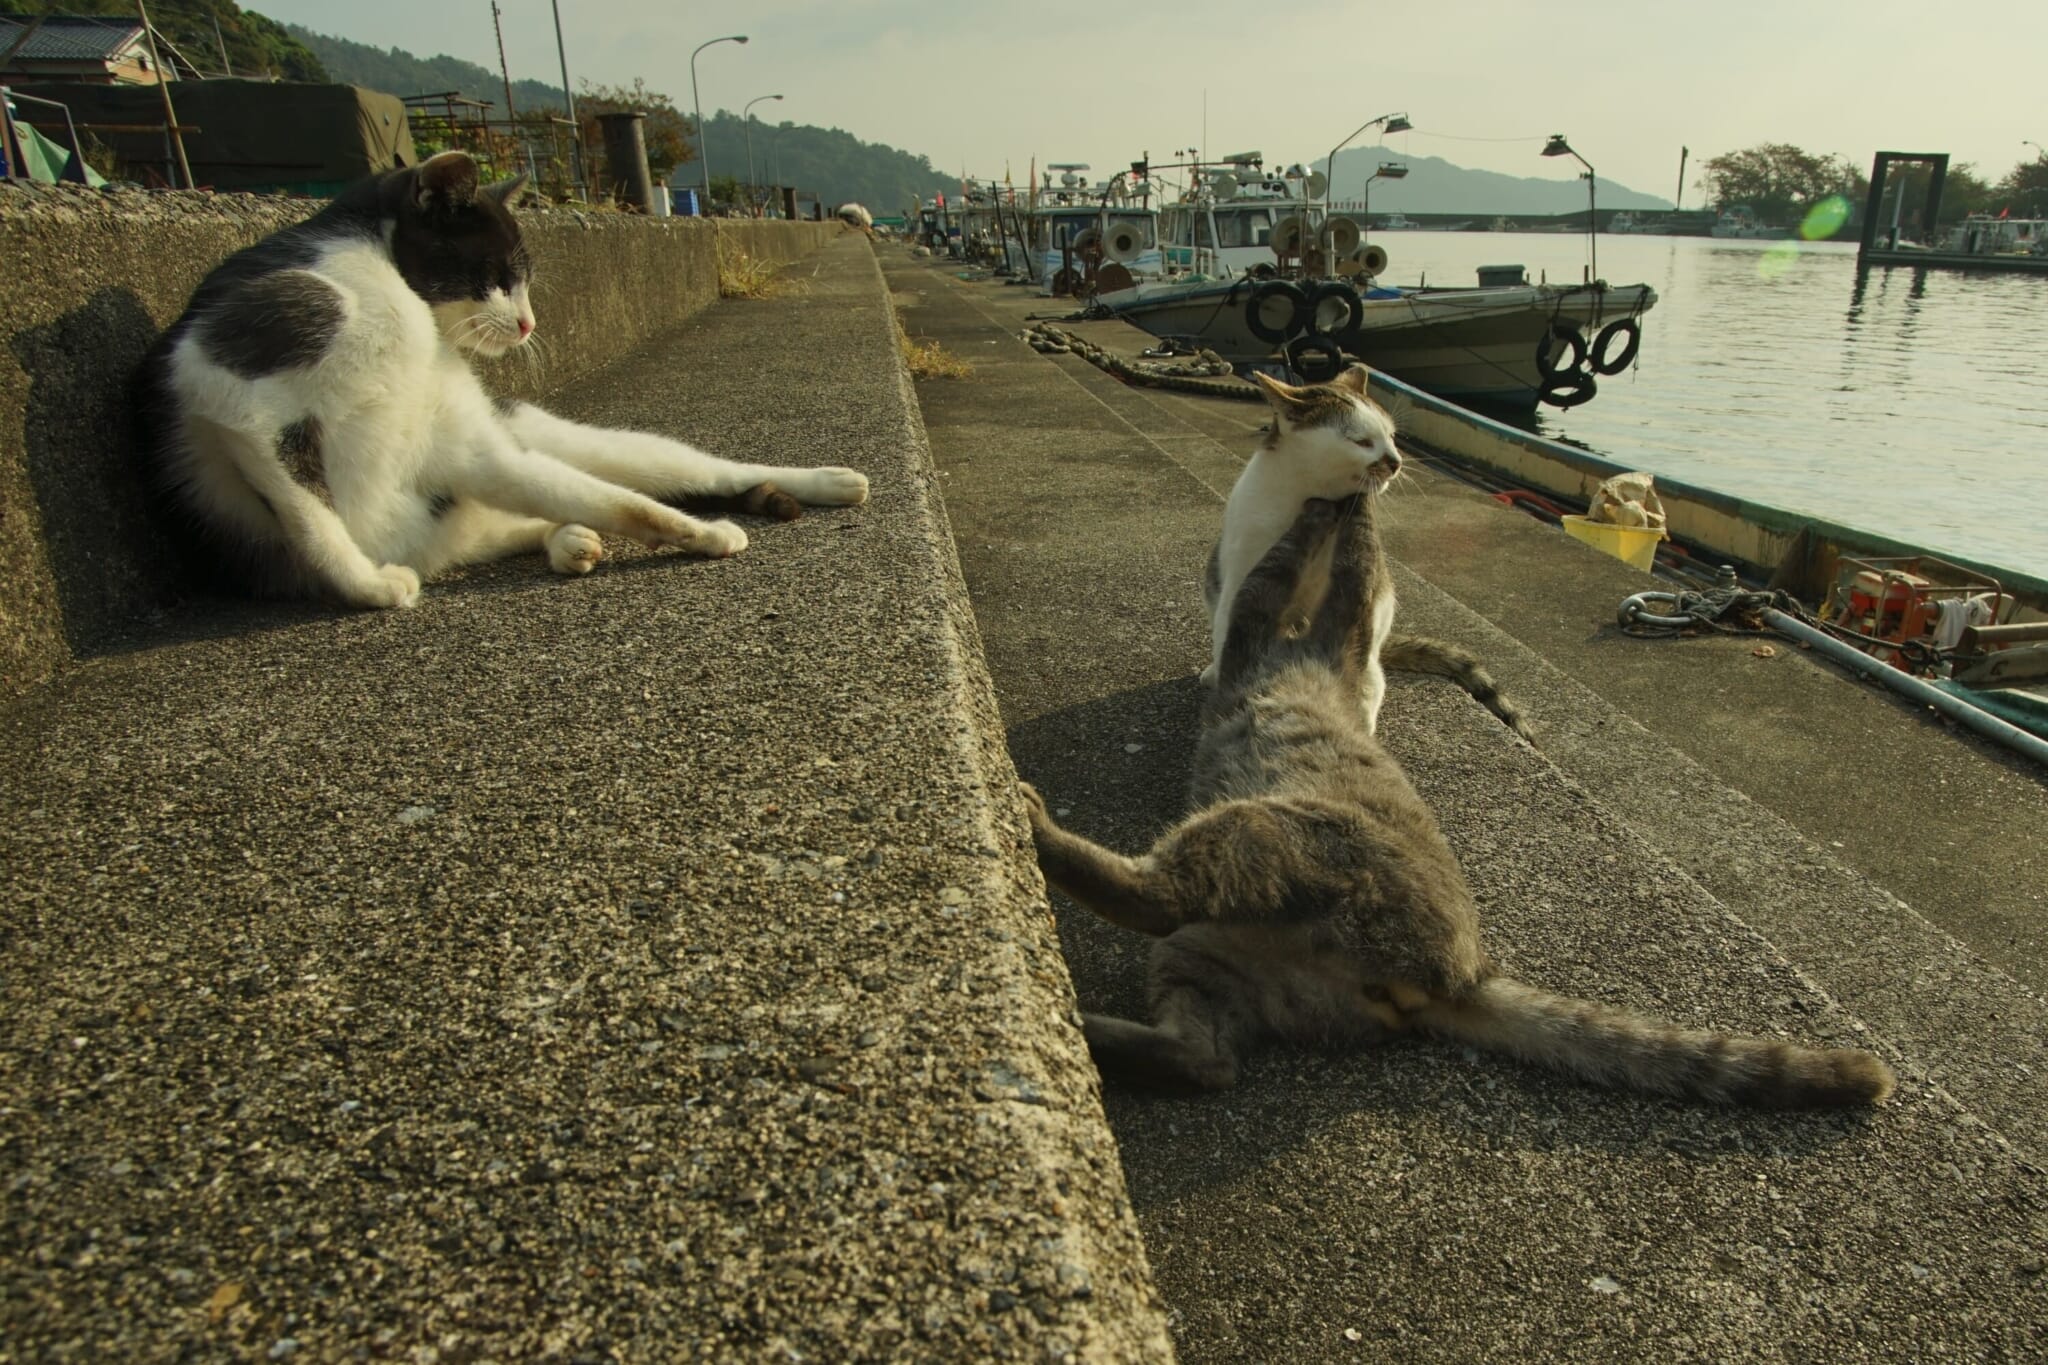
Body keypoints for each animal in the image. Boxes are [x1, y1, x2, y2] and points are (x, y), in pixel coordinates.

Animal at [140, 148, 868, 609]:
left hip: (569, 443)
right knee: (549, 509)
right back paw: (569, 541)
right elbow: (312, 514)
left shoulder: (471, 445)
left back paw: (827, 480)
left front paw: (706, 533)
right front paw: (370, 587)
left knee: (695, 471)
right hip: (464, 507)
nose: (527, 323)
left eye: (524, 280)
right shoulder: (228, 386)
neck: (399, 298)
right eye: (496, 275)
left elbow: (628, 503)